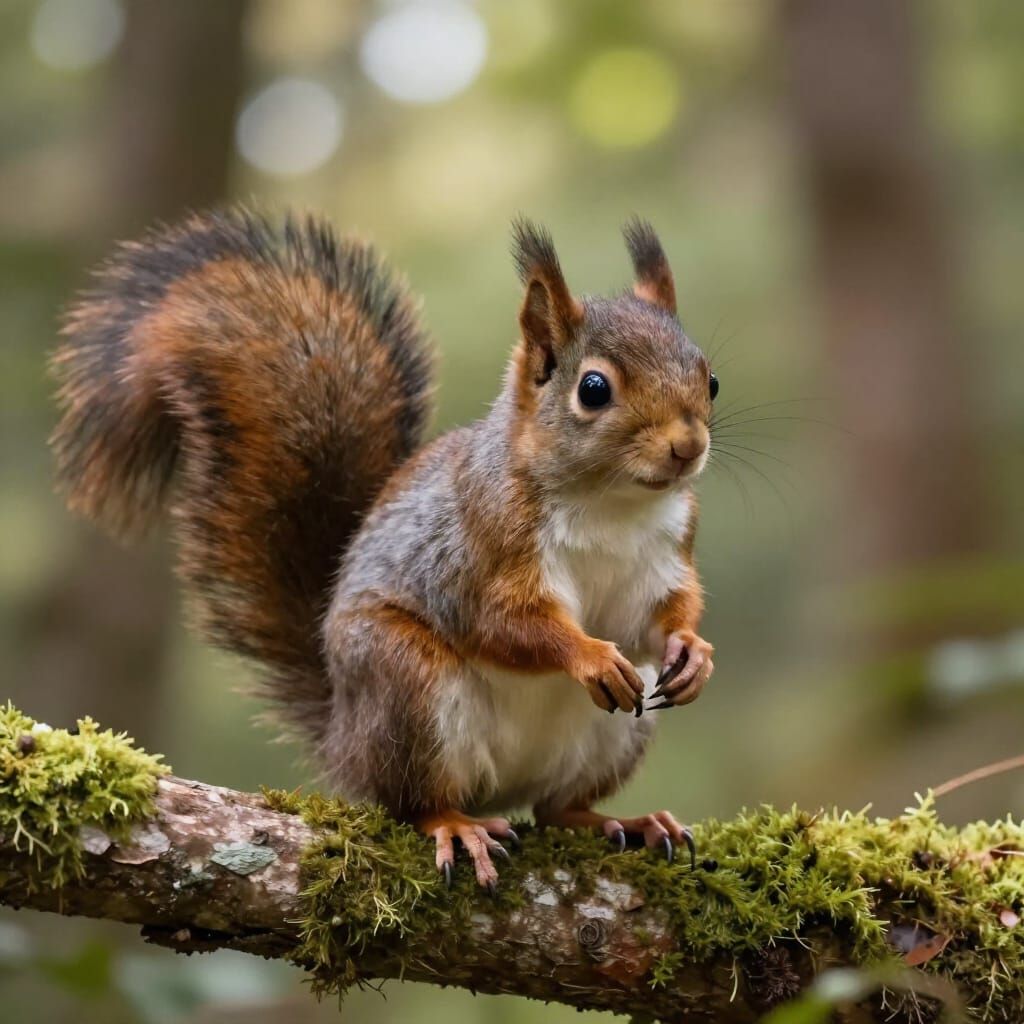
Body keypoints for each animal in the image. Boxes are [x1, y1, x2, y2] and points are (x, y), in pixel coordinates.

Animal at [51, 208, 716, 890]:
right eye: (594, 389)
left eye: (710, 379)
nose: (688, 447)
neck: (610, 503)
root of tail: (344, 740)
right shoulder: (481, 545)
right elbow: (504, 623)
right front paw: (589, 655)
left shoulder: (667, 551)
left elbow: (659, 615)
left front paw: (693, 651)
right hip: (404, 683)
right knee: (413, 801)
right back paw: (456, 825)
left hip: (618, 731)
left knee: (556, 807)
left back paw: (625, 822)